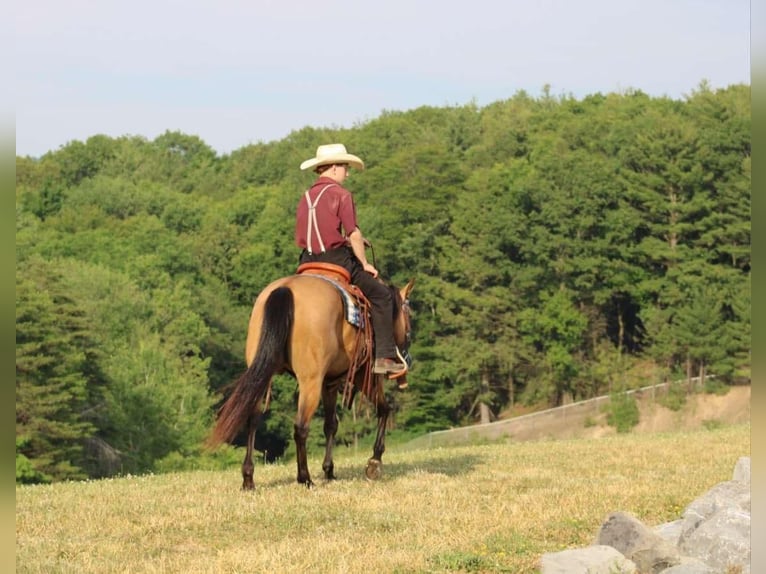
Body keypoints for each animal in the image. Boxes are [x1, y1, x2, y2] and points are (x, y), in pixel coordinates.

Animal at [208, 266, 414, 490]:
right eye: (408, 315)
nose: (408, 340)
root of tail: (285, 288)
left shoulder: (329, 383)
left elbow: (331, 424)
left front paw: (329, 470)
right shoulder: (362, 375)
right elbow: (384, 410)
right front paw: (374, 461)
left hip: (262, 373)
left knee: (253, 419)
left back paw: (248, 478)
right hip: (310, 381)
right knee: (300, 427)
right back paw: (304, 477)